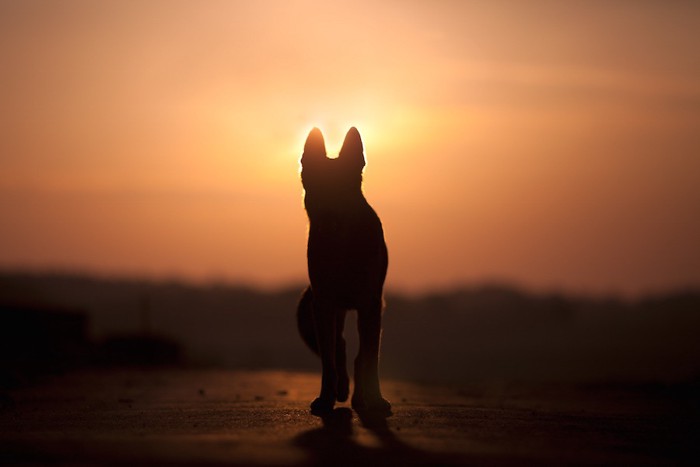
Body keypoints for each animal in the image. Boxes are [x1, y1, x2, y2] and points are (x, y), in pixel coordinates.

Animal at [296, 128, 392, 416]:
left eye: (343, 189)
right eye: (317, 188)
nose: (329, 219)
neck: (343, 246)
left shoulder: (370, 305)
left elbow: (370, 358)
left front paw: (376, 400)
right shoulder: (324, 305)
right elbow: (329, 360)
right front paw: (325, 398)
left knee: (360, 355)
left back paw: (361, 398)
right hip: (327, 313)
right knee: (340, 349)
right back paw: (342, 389)